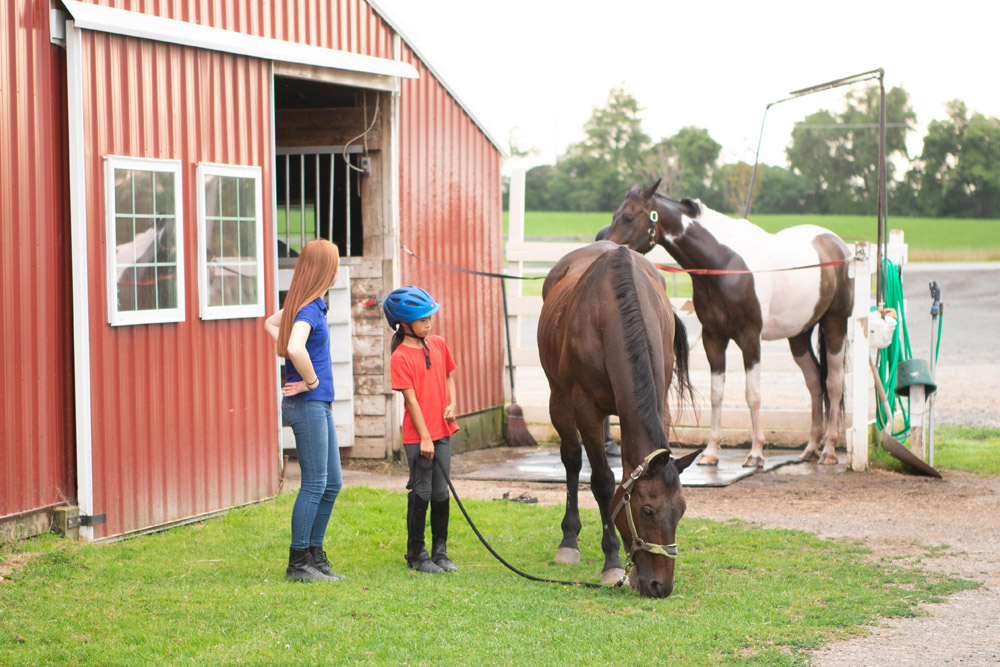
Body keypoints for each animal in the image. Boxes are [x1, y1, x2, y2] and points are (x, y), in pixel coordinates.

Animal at [536, 243, 700, 596]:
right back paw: (569, 540)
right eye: (647, 511)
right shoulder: (584, 406)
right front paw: (611, 563)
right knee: (572, 458)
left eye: (681, 510)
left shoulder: (661, 401)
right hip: (559, 398)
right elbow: (602, 481)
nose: (660, 586)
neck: (611, 310)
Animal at [600, 180, 852, 468]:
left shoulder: (750, 339)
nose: (606, 247)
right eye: (615, 215)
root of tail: (838, 244)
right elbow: (716, 395)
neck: (725, 266)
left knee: (833, 383)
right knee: (813, 382)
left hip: (835, 324)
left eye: (629, 217)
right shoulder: (714, 338)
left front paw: (756, 453)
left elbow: (753, 395)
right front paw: (711, 452)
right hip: (798, 335)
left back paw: (829, 451)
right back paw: (810, 448)